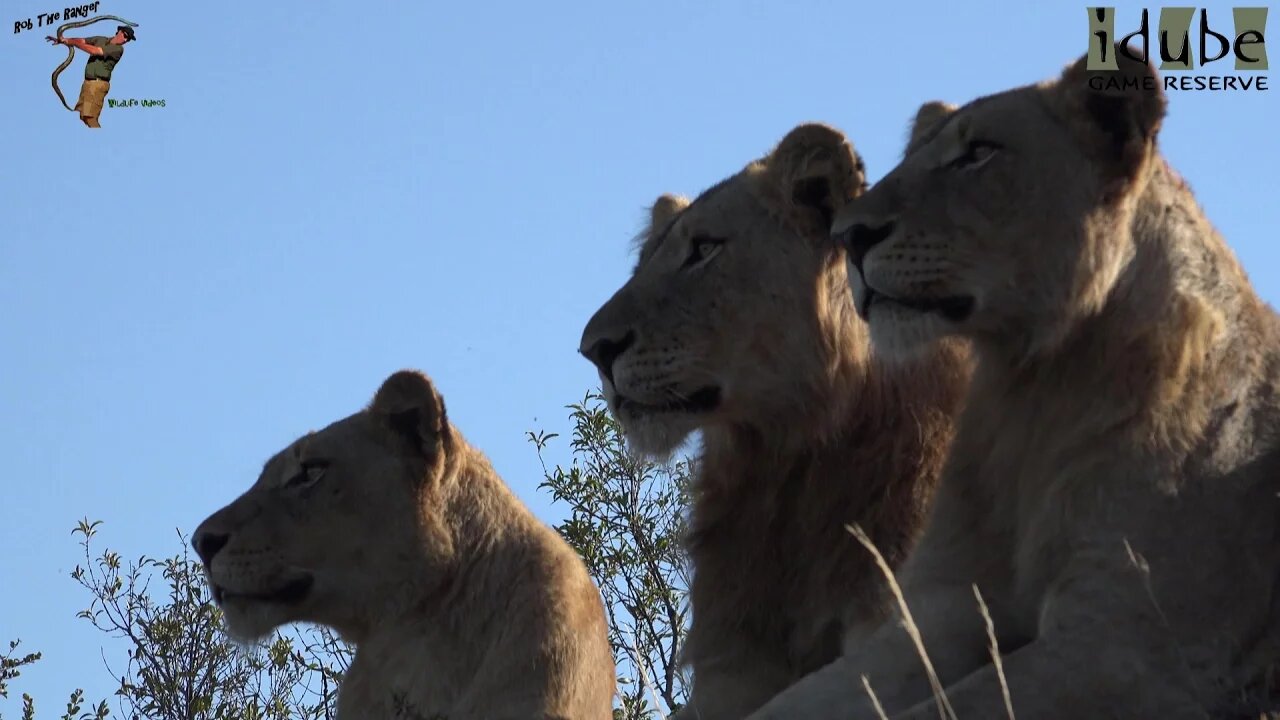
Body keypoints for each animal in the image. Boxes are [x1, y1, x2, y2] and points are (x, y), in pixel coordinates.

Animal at [578, 120, 967, 712]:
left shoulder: (905, 613)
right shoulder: (732, 667)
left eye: (704, 249)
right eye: (641, 265)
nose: (594, 350)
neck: (786, 463)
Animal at [747, 47, 1280, 712]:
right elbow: (801, 700)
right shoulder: (942, 606)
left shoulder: (1133, 644)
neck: (1032, 389)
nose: (848, 236)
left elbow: (959, 705)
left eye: (978, 154)